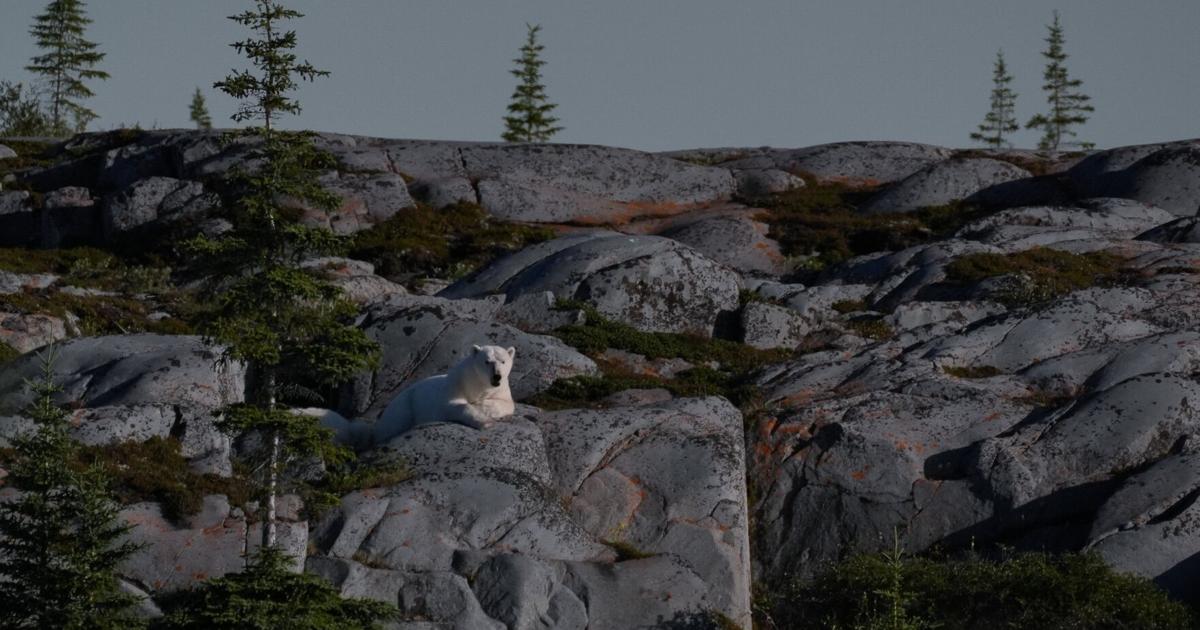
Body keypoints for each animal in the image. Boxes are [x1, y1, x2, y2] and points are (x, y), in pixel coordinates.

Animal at [316, 343, 513, 446]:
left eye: (503, 361)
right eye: (487, 361)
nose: (497, 376)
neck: (477, 384)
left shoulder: (502, 389)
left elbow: (507, 404)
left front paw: (484, 406)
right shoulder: (454, 386)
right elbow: (455, 405)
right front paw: (485, 422)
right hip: (404, 406)